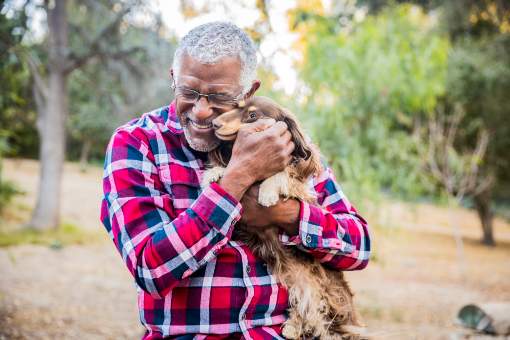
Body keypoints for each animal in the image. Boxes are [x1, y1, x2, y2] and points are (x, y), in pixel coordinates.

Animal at [201, 97, 364, 338]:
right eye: (235, 106)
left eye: (252, 115)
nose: (215, 124)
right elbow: (229, 168)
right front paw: (214, 173)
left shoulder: (300, 189)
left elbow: (282, 174)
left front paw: (267, 192)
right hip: (298, 281)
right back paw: (292, 327)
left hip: (315, 287)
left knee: (316, 312)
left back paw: (294, 327)